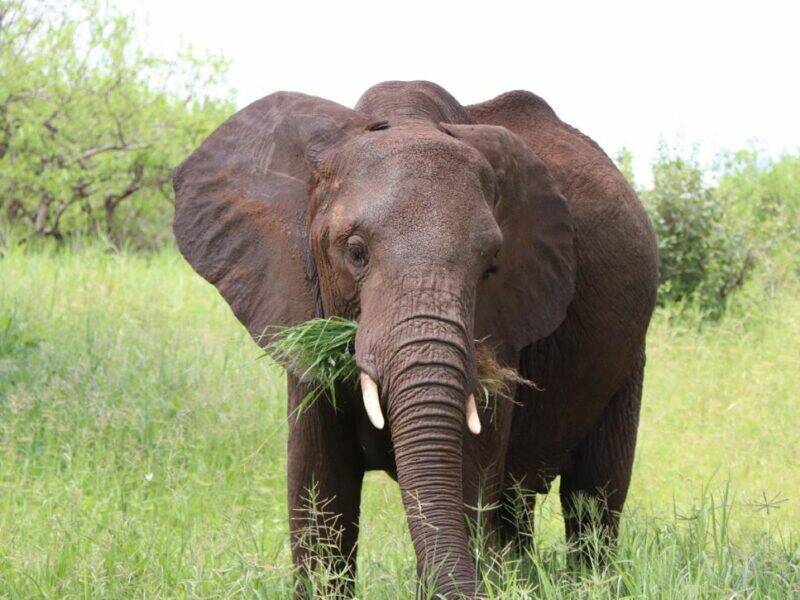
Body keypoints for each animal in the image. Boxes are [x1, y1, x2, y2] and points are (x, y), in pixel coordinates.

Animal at [172, 80, 659, 598]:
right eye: (355, 252)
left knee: (593, 495)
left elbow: (466, 484)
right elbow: (319, 491)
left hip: (629, 353)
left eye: (491, 266)